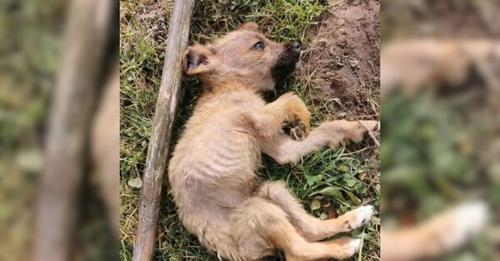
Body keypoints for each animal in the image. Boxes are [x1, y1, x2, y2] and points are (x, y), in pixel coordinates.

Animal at [169, 22, 378, 260]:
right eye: (259, 45)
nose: (297, 44)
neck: (230, 86)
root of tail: (224, 249)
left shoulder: (281, 149)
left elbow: (327, 128)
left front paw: (361, 127)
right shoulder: (263, 119)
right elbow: (290, 97)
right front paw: (304, 117)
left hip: (272, 190)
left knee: (310, 230)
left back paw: (355, 218)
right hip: (260, 211)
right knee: (299, 250)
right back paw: (347, 245)